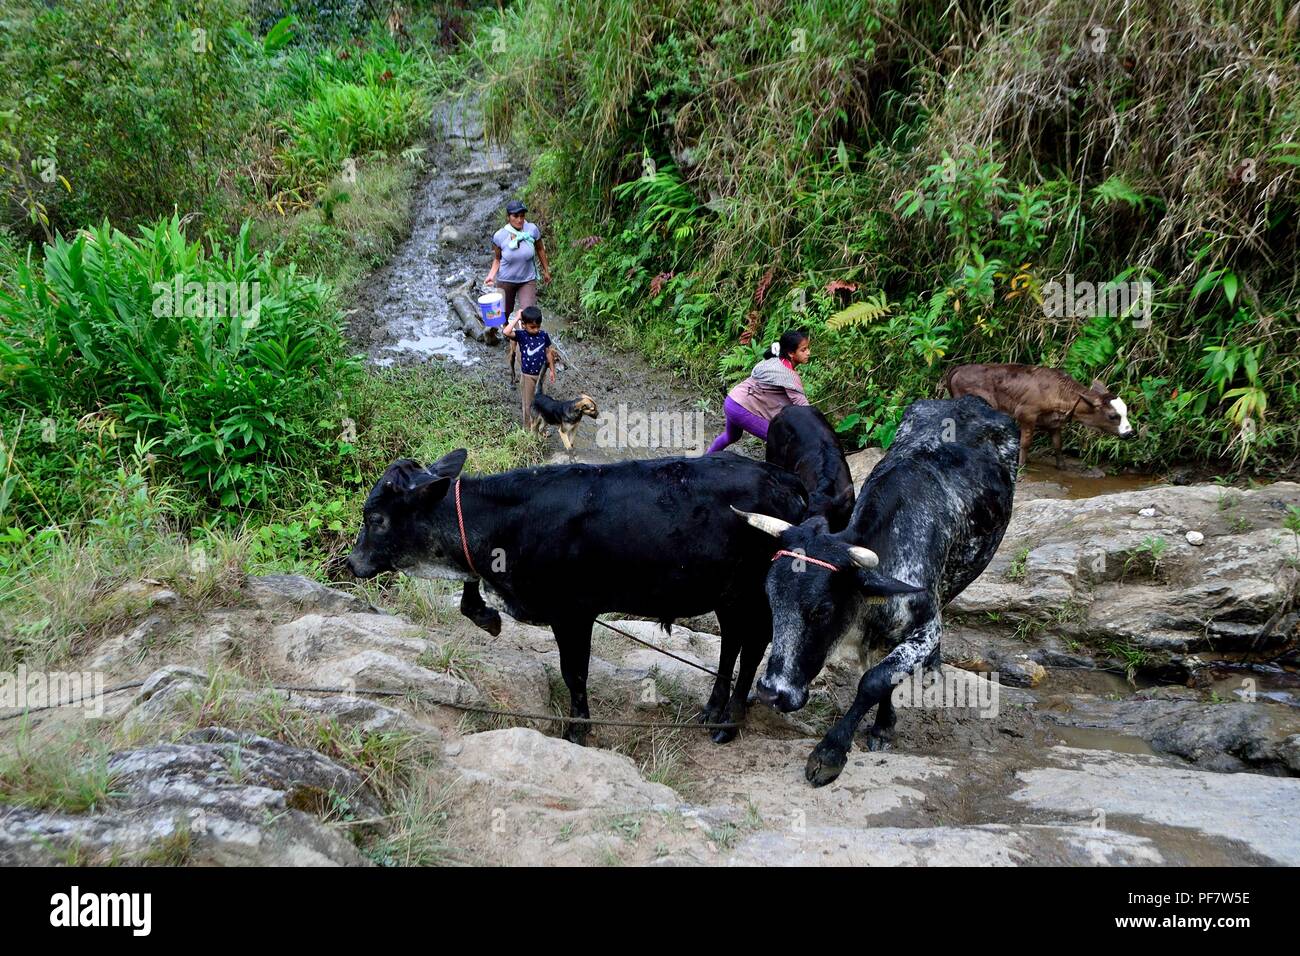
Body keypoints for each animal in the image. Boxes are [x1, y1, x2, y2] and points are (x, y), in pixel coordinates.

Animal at [345, 452, 915, 743]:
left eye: (376, 518)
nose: (351, 564)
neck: (509, 521)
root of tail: (788, 481)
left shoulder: (574, 611)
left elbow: (574, 673)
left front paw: (578, 731)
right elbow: (472, 597)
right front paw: (485, 614)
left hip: (753, 593)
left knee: (752, 645)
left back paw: (728, 723)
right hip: (727, 593)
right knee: (733, 643)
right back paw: (713, 711)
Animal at [733, 395, 1013, 785]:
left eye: (822, 610)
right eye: (771, 600)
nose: (772, 693)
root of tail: (972, 400)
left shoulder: (925, 628)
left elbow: (875, 680)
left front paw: (831, 751)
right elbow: (883, 674)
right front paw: (883, 724)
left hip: (969, 568)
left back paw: (932, 667)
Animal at [941, 361, 1133, 476]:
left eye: (1125, 411)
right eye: (1113, 416)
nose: (1129, 433)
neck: (1057, 393)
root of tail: (960, 367)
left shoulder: (1054, 423)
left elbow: (1058, 444)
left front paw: (1062, 466)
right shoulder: (1026, 414)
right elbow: (1025, 443)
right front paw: (1021, 468)